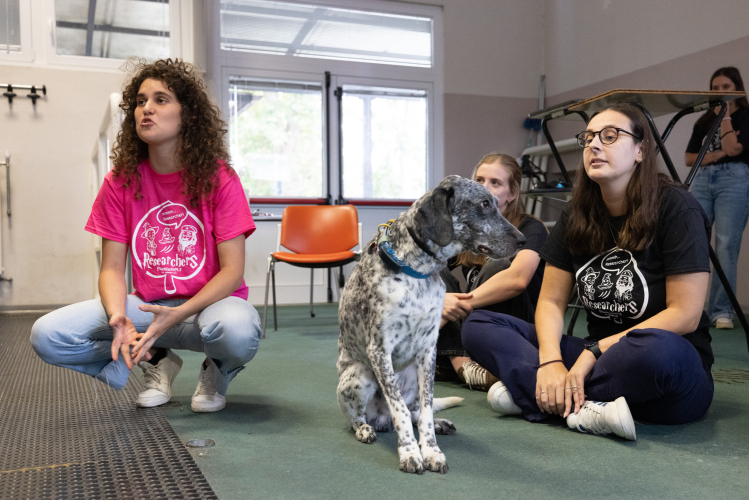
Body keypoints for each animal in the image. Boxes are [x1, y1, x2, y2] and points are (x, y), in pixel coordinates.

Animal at [337, 175, 525, 474]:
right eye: (484, 204)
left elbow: (425, 408)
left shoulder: (428, 351)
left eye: (496, 202)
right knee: (361, 417)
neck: (418, 272)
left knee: (416, 411)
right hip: (360, 375)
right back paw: (365, 429)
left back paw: (439, 423)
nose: (523, 240)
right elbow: (400, 410)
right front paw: (410, 452)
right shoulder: (379, 351)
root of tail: (380, 418)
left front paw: (432, 450)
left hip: (413, 375)